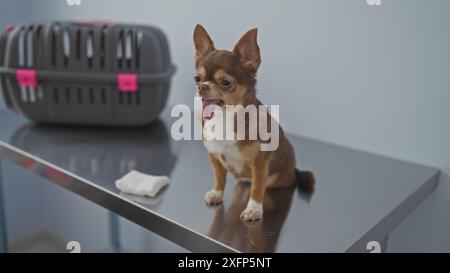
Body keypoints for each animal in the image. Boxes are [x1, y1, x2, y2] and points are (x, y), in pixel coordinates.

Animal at [192, 24, 312, 221]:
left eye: (225, 82)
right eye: (197, 79)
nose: (202, 87)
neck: (225, 118)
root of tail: (293, 170)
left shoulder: (260, 164)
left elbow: (257, 187)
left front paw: (254, 209)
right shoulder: (214, 156)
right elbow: (219, 177)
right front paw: (216, 193)